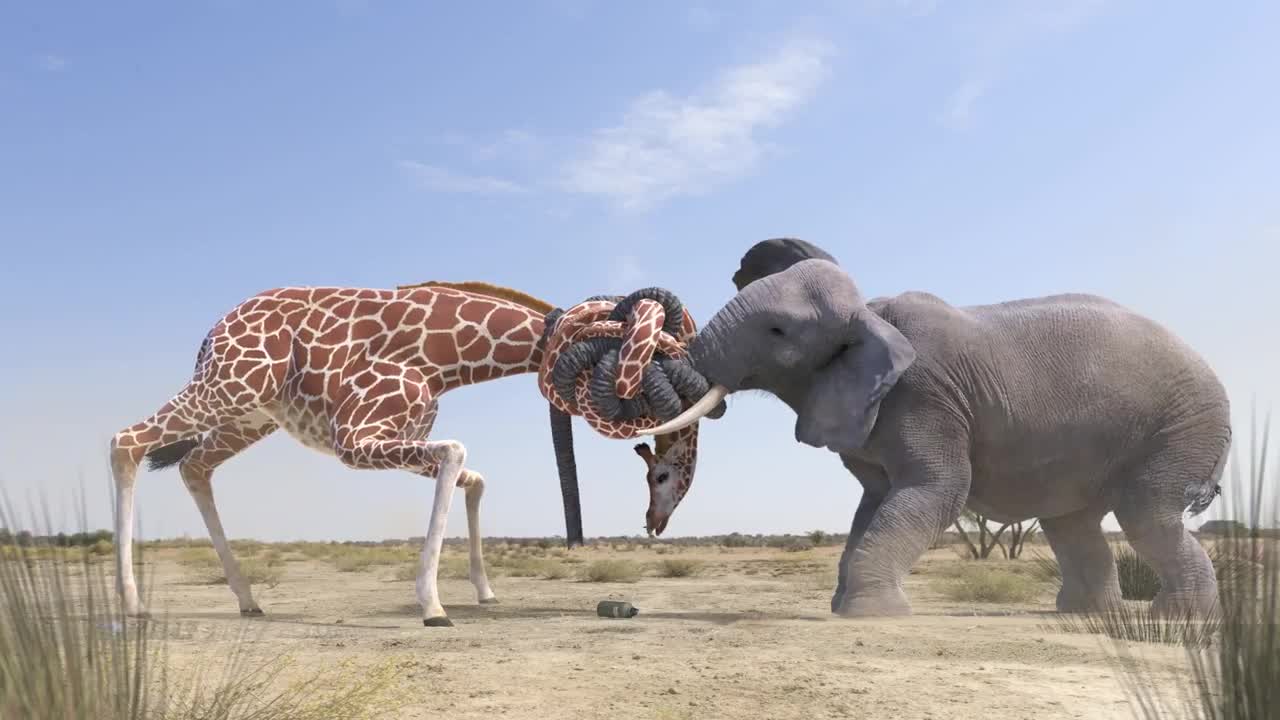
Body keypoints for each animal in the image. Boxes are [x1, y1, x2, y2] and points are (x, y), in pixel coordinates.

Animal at [107, 279, 711, 622]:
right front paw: (434, 607)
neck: (446, 356)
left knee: (193, 465)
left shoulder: (395, 434)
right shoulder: (355, 439)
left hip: (251, 414)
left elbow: (472, 475)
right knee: (125, 442)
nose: (657, 518)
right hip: (230, 387)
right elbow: (458, 455)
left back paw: (249, 600)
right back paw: (133, 603)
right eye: (651, 351)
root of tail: (210, 336)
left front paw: (483, 593)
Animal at [645, 237, 1233, 617]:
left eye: (778, 331)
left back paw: (1174, 618)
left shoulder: (926, 396)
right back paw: (1085, 614)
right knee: (1072, 522)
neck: (871, 314)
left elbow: (936, 489)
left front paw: (871, 613)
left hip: (1183, 426)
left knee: (1145, 514)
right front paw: (845, 607)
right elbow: (873, 501)